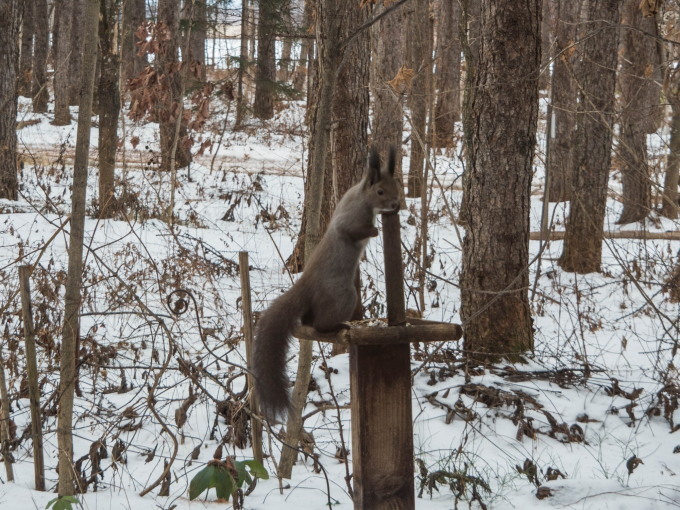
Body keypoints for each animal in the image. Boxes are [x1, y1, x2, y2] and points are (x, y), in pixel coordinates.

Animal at [251, 146, 398, 418]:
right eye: (380, 191)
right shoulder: (349, 221)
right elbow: (353, 231)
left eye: (398, 186)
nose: (396, 204)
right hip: (344, 296)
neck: (361, 197)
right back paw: (339, 325)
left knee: (311, 322)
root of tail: (305, 287)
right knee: (319, 325)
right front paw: (373, 231)